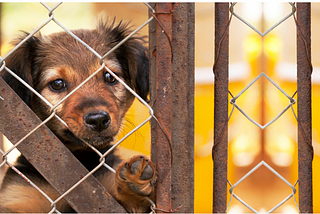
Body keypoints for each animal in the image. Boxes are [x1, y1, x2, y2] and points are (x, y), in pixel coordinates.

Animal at [0, 15, 156, 213]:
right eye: (57, 84)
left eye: (110, 77)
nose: (98, 120)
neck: (77, 159)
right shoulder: (18, 197)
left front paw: (133, 185)